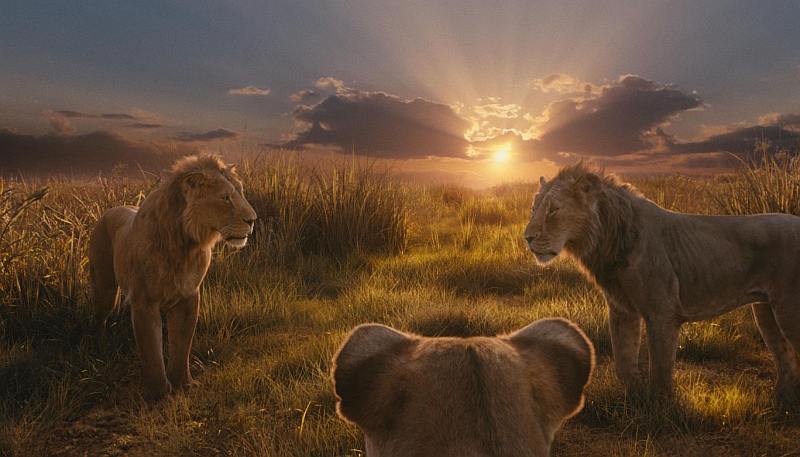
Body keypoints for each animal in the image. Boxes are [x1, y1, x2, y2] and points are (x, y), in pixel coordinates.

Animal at [88, 154, 256, 400]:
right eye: (225, 198)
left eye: (241, 192)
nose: (253, 220)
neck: (185, 245)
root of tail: (110, 210)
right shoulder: (144, 302)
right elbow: (151, 348)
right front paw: (158, 392)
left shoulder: (188, 298)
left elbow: (181, 345)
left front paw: (183, 384)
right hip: (105, 289)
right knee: (99, 318)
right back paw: (98, 349)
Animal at [524, 163, 800, 406]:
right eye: (534, 208)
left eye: (553, 209)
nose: (526, 238)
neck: (607, 239)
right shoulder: (622, 309)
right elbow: (623, 361)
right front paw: (634, 399)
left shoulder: (662, 312)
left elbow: (660, 367)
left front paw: (661, 408)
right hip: (765, 311)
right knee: (785, 358)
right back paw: (781, 403)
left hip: (787, 310)